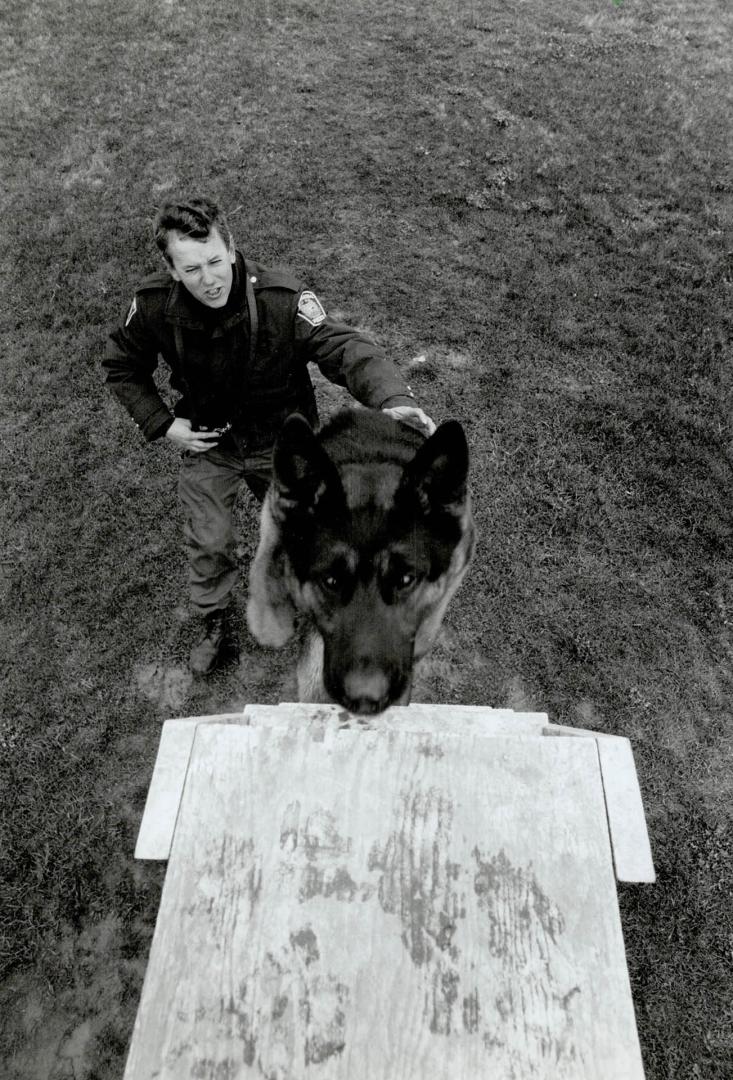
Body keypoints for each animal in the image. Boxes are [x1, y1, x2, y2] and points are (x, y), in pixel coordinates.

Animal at [246, 408, 474, 712]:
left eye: (406, 579)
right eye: (330, 580)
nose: (366, 699)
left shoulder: (461, 554)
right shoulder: (273, 514)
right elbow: (267, 558)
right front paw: (269, 619)